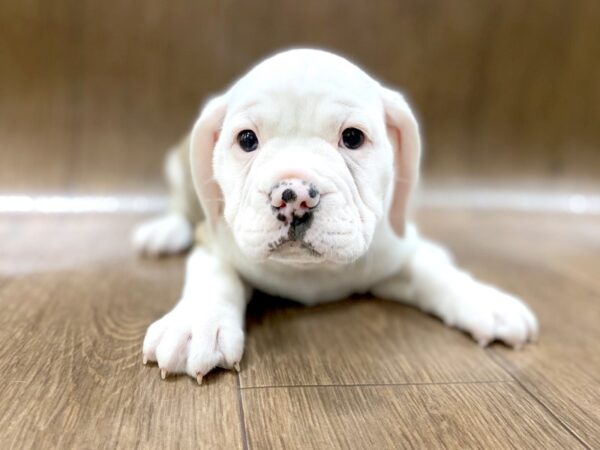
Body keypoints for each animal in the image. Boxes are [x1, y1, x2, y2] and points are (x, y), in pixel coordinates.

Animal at [136, 50, 540, 386]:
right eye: (247, 140)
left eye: (353, 138)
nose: (294, 198)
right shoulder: (213, 239)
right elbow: (214, 275)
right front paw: (196, 325)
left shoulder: (393, 254)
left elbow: (431, 271)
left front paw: (483, 299)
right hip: (177, 166)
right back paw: (164, 231)